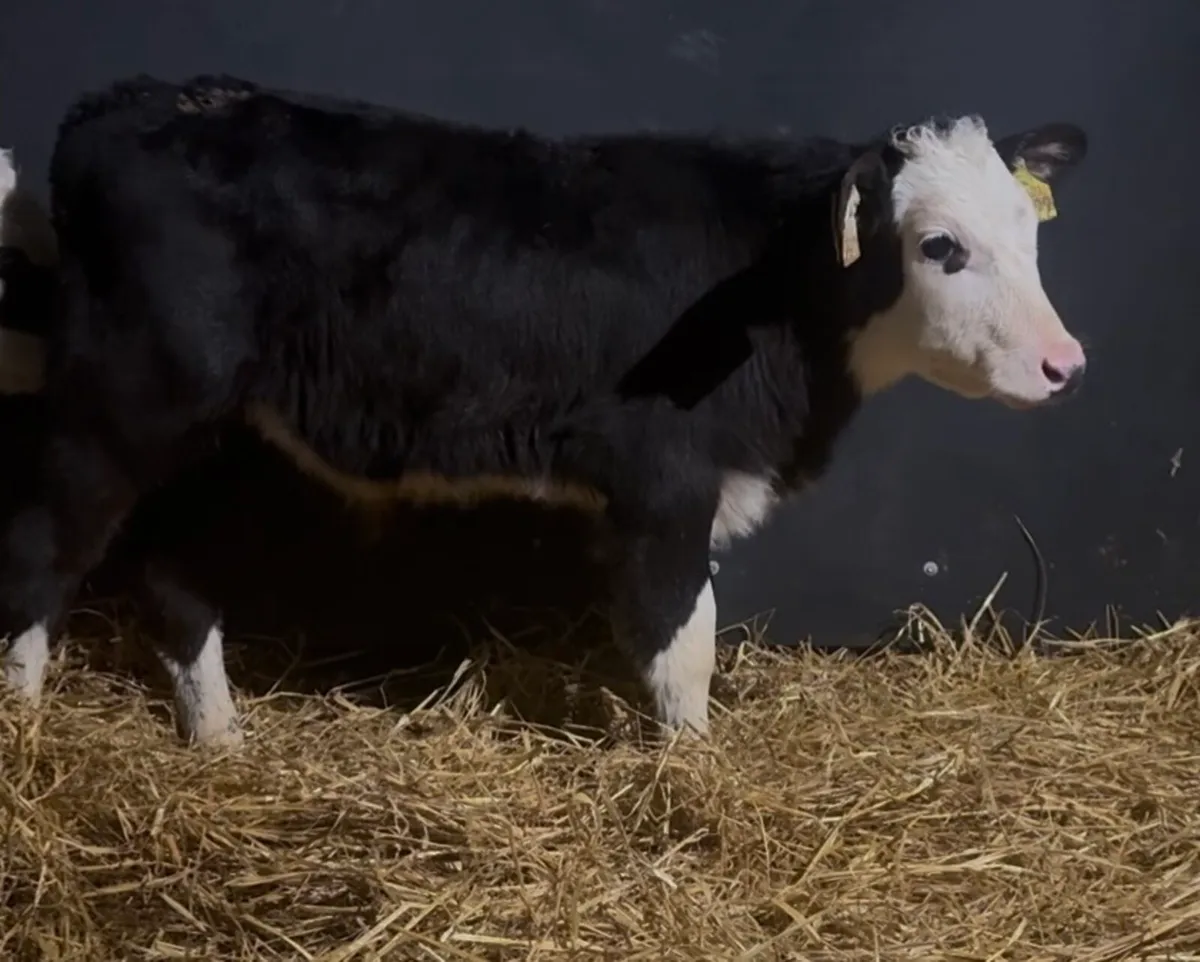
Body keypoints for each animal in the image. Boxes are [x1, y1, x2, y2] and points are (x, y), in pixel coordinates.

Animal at [0, 74, 1089, 747]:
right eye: (941, 246)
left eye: (1030, 228)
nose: (1063, 363)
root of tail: (134, 100)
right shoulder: (665, 479)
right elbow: (682, 639)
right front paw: (692, 772)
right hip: (115, 403)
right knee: (40, 551)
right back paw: (24, 730)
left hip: (213, 433)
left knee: (176, 574)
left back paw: (219, 736)